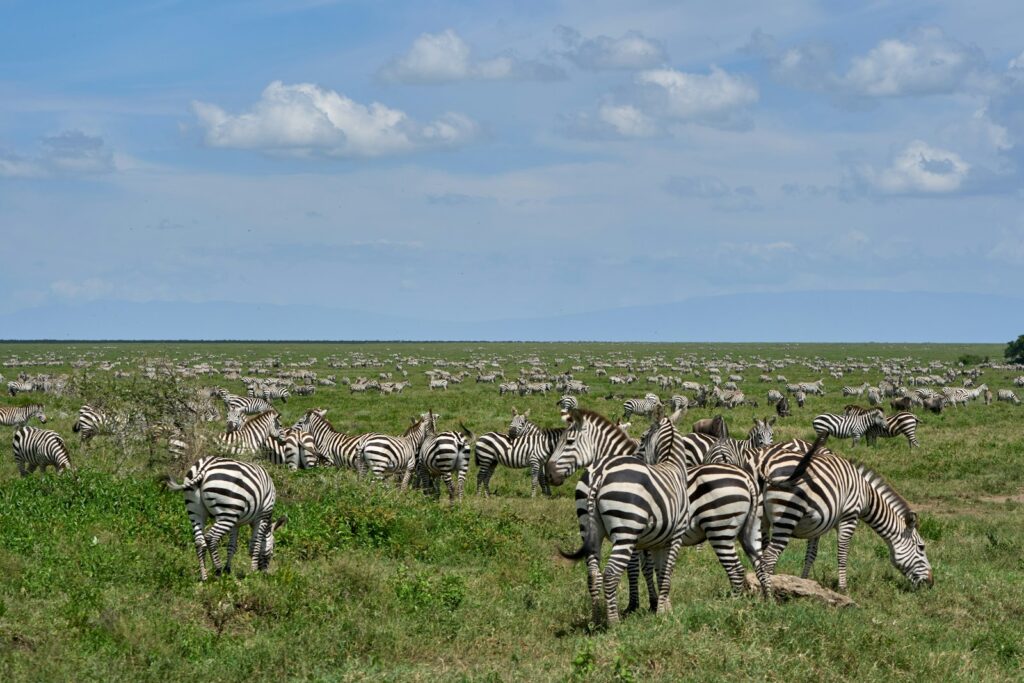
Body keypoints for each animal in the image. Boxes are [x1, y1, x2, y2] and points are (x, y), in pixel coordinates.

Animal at [757, 440, 933, 593]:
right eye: (921, 547)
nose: (931, 583)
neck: (867, 496)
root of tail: (766, 463)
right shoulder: (849, 517)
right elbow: (843, 554)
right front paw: (843, 588)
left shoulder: (818, 523)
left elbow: (811, 555)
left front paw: (803, 582)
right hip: (787, 514)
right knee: (769, 556)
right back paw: (770, 596)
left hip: (761, 518)